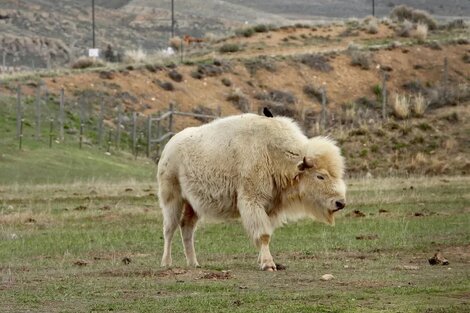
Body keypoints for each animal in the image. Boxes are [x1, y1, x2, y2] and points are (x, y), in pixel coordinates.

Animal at [158, 112, 346, 270]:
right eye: (320, 176)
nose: (340, 203)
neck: (272, 152)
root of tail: (169, 146)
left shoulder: (270, 208)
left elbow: (266, 233)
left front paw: (262, 260)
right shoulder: (252, 201)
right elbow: (263, 234)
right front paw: (268, 264)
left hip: (193, 205)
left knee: (187, 227)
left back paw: (194, 263)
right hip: (172, 198)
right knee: (169, 228)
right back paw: (166, 263)